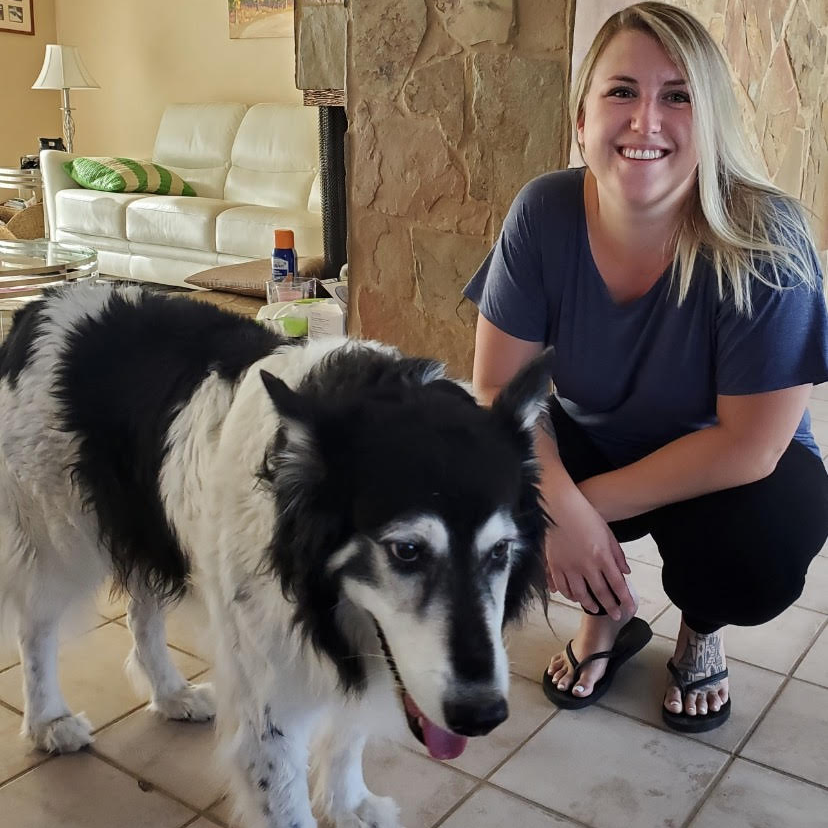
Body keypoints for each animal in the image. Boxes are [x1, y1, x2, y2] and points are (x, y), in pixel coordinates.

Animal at [0, 284, 548, 828]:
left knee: (141, 611)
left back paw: (172, 694)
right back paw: (49, 721)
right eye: (407, 551)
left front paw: (349, 805)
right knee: (36, 631)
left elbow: (348, 735)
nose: (482, 716)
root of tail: (41, 303)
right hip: (54, 543)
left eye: (501, 551)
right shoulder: (270, 708)